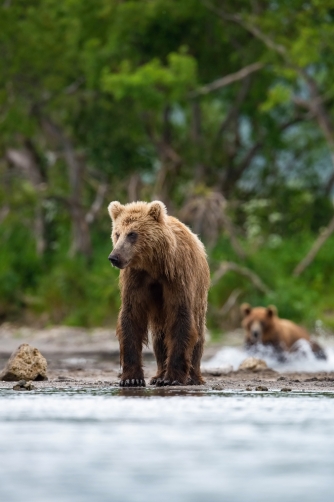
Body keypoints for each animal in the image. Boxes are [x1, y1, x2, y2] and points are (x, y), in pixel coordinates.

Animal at [108, 200, 210, 388]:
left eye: (132, 234)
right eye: (117, 233)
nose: (114, 257)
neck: (153, 265)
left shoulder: (177, 276)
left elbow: (180, 318)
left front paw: (172, 378)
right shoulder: (136, 279)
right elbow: (131, 317)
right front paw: (132, 378)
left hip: (199, 293)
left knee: (198, 332)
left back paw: (192, 376)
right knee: (159, 338)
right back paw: (158, 375)